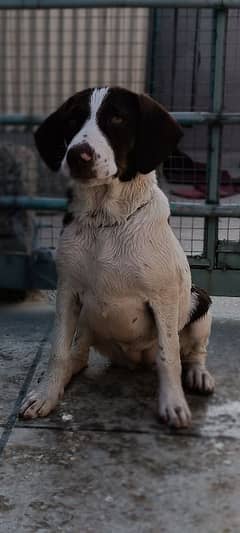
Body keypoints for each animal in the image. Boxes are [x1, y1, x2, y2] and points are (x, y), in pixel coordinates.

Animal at [20, 88, 214, 428]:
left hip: (199, 301)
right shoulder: (67, 292)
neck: (106, 221)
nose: (77, 155)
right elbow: (58, 351)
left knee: (192, 352)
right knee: (79, 355)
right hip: (86, 319)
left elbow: (169, 356)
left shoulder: (163, 299)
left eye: (117, 119)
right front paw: (46, 395)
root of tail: (133, 362)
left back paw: (198, 375)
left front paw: (173, 403)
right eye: (73, 119)